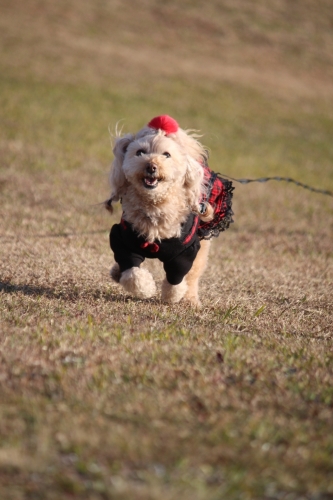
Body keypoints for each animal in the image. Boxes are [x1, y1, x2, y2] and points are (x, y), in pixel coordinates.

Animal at [105, 115, 232, 306]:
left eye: (166, 155)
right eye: (140, 152)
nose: (151, 166)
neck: (155, 205)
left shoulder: (186, 250)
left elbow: (177, 277)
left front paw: (172, 296)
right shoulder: (123, 240)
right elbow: (132, 271)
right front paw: (146, 289)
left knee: (193, 274)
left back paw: (190, 300)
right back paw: (116, 272)